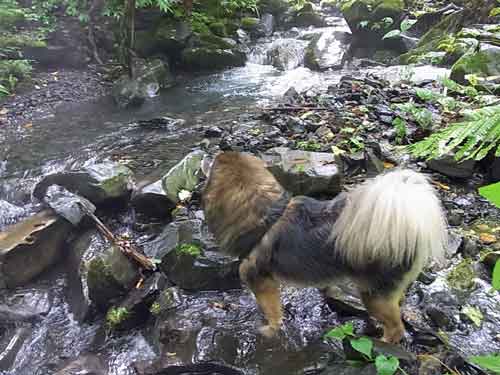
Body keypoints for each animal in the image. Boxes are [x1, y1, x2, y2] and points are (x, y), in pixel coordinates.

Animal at [201, 151, 448, 346]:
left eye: (213, 165)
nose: (208, 154)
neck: (267, 215)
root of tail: (411, 223)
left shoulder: (261, 281)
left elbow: (272, 311)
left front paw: (269, 330)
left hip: (373, 296)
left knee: (396, 329)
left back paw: (382, 342)